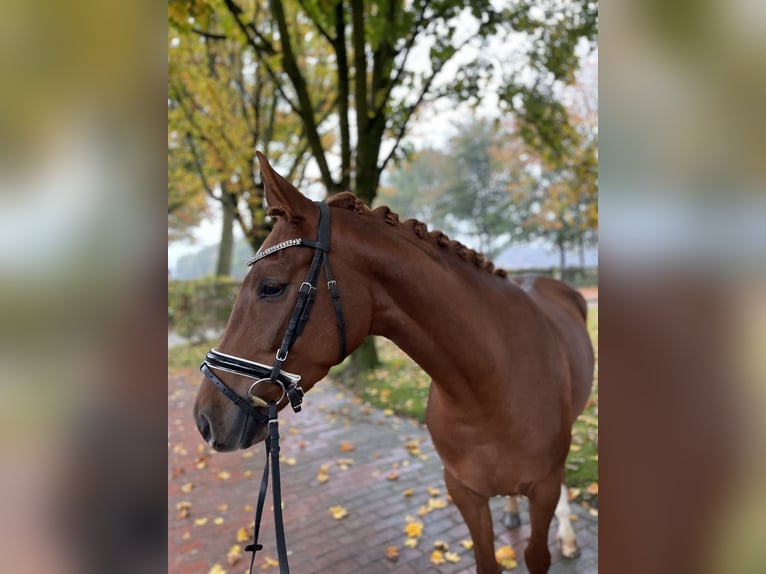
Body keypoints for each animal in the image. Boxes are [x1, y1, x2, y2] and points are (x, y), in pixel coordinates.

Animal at [195, 154, 596, 574]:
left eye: (270, 287)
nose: (204, 418)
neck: (491, 389)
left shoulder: (544, 487)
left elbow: (539, 550)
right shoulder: (464, 492)